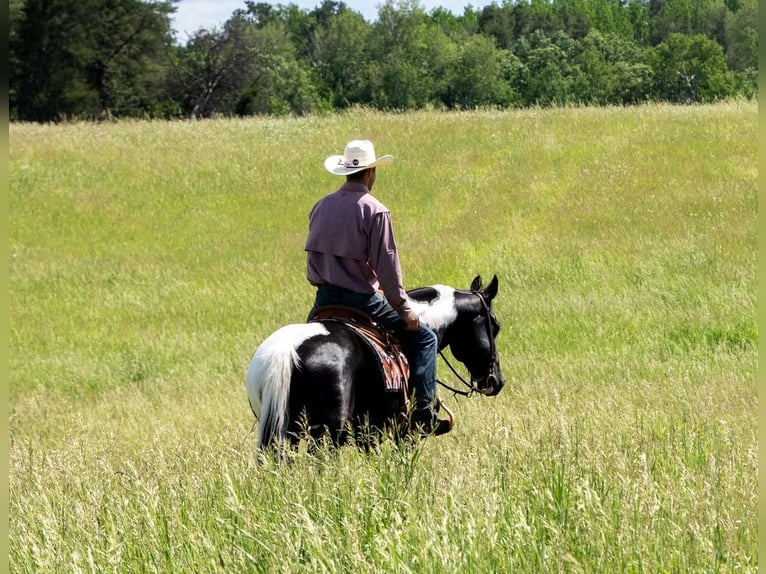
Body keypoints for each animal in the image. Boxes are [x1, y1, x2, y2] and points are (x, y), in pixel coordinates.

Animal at [246, 276, 508, 452]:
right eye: (495, 326)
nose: (496, 381)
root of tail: (287, 350)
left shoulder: (368, 429)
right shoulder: (403, 430)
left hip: (287, 429)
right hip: (326, 433)